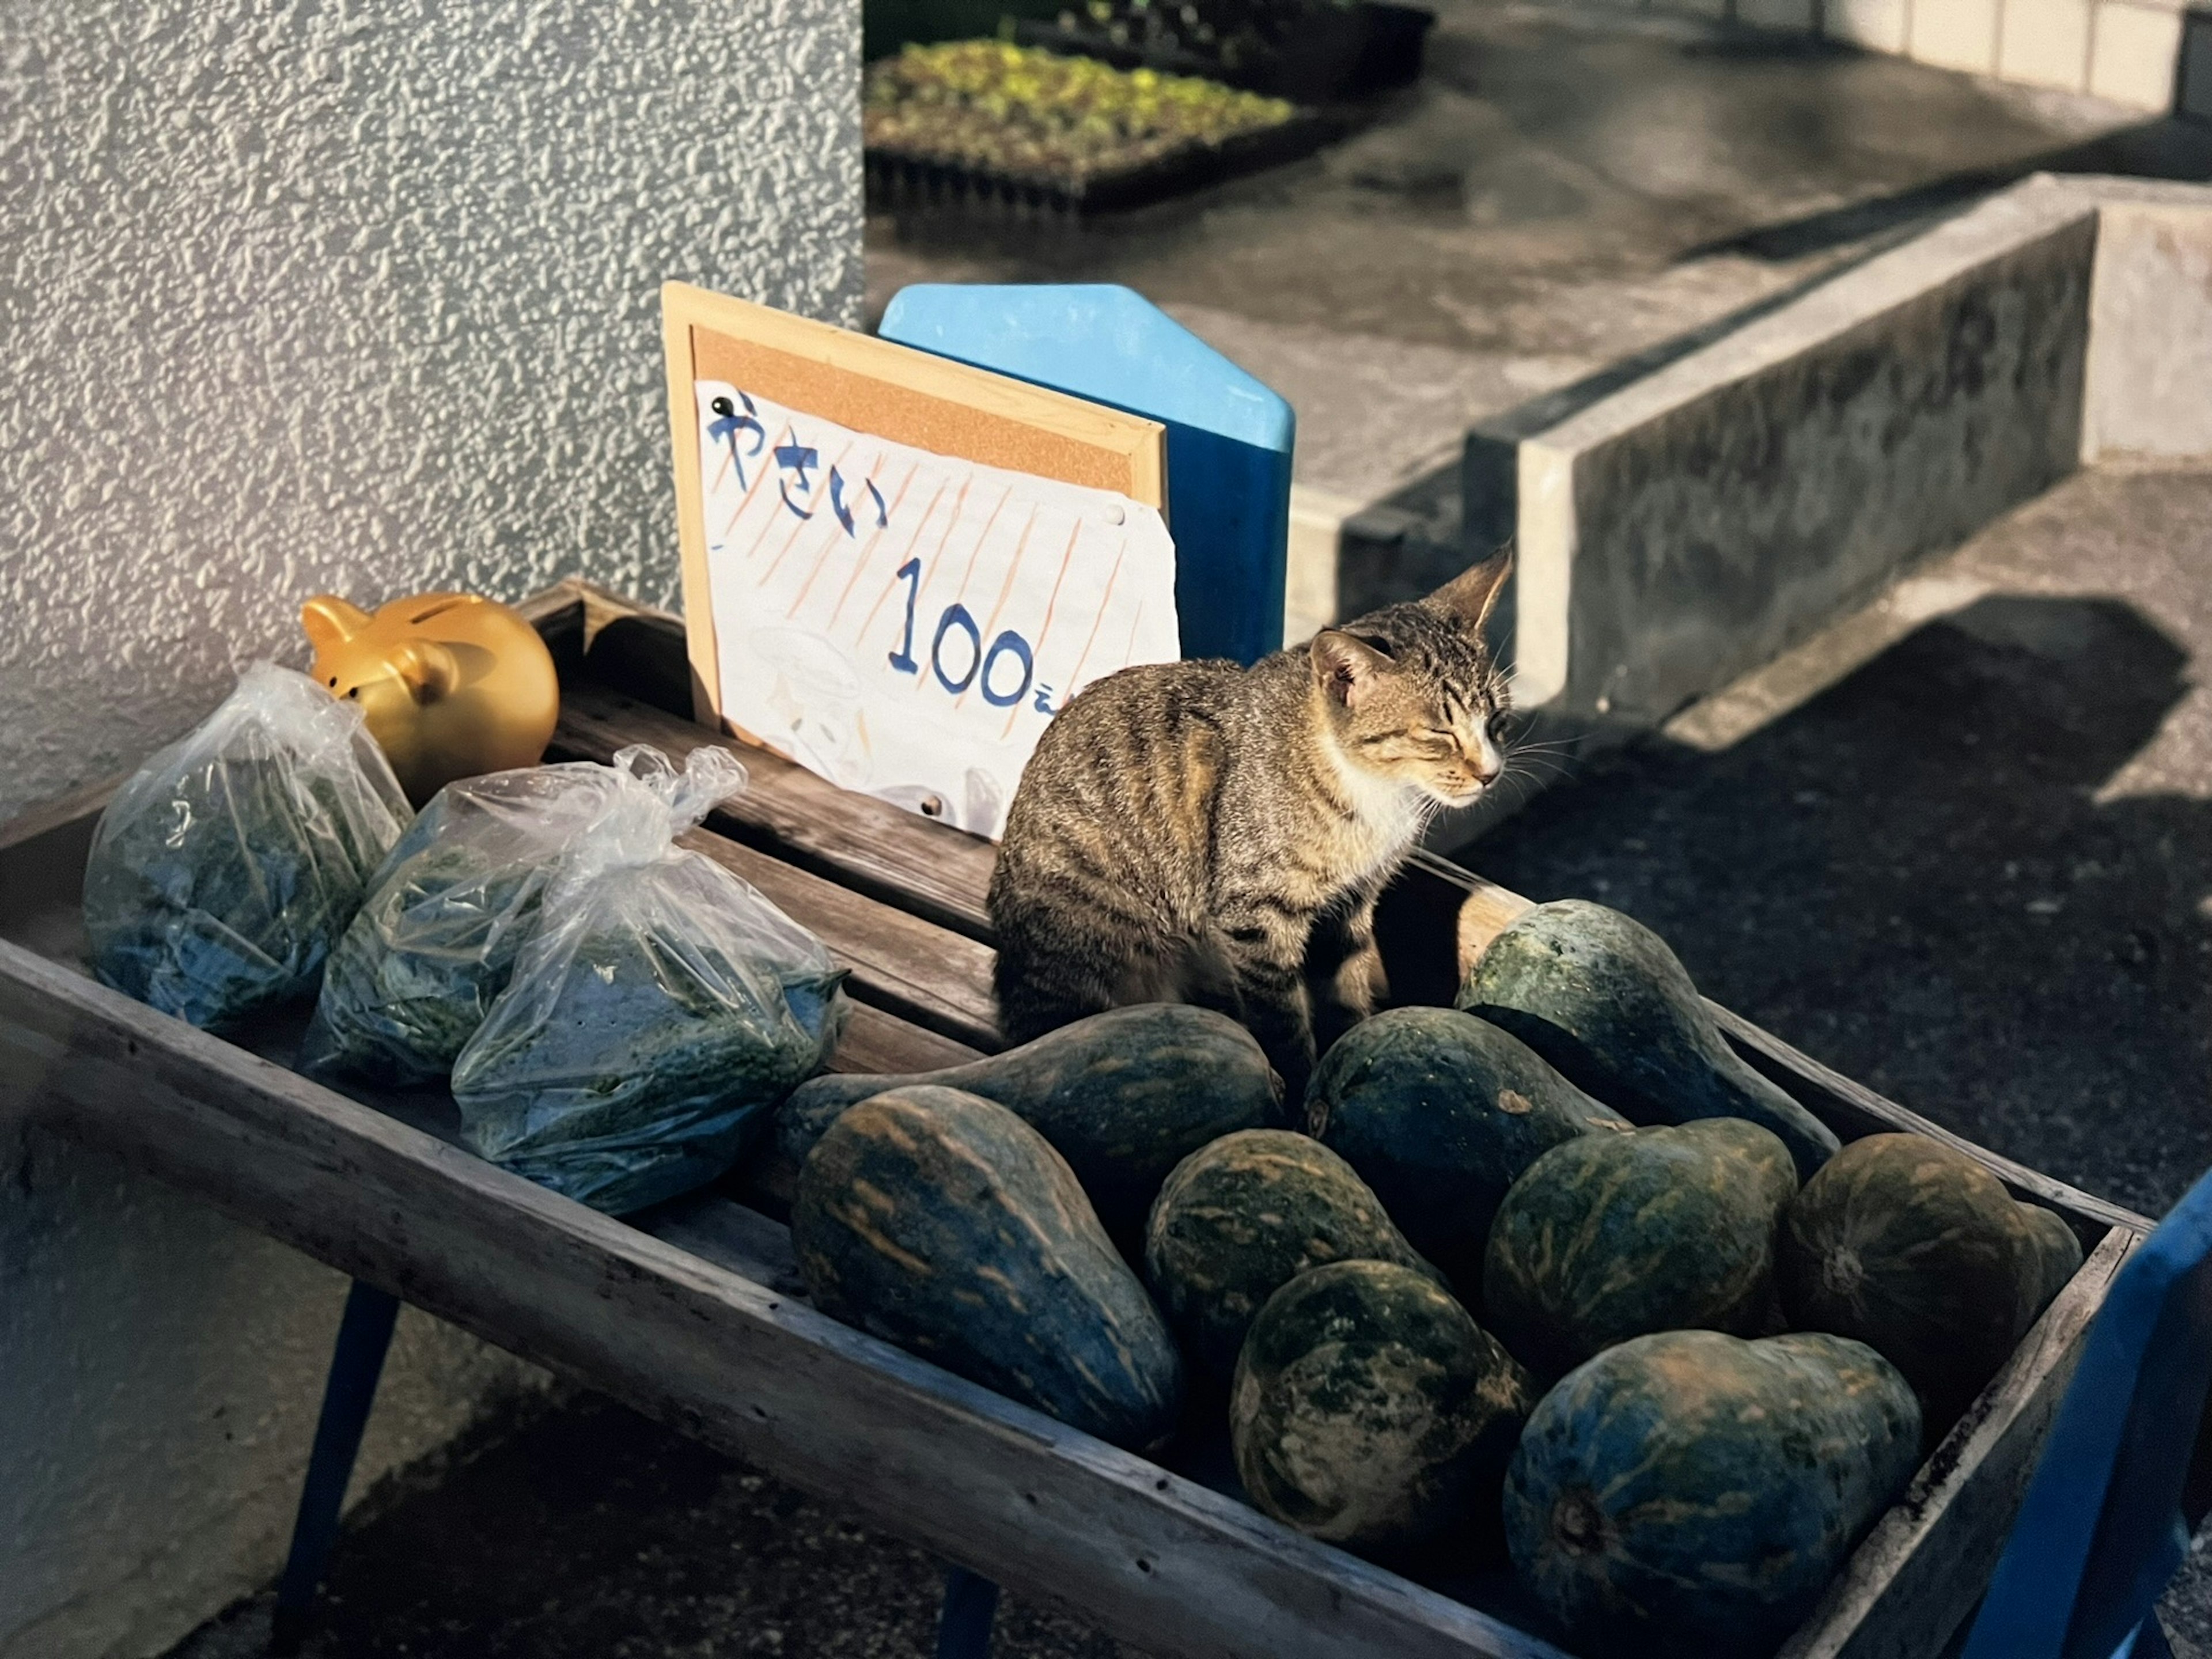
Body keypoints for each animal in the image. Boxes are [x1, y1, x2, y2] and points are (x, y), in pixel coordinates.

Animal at [995, 555, 1513, 1106]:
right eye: (1439, 732)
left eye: (1498, 720)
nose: (1490, 773)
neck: (1370, 790)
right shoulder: (1256, 912)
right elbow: (1281, 1018)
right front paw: (1298, 1083)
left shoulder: (1350, 905)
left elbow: (1346, 986)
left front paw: (1350, 1043)